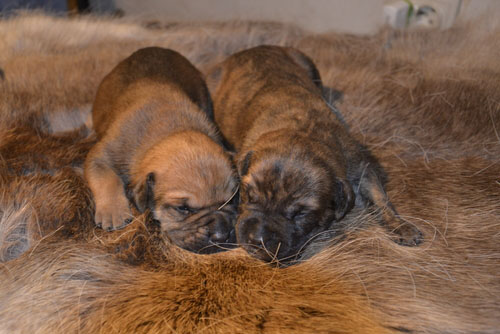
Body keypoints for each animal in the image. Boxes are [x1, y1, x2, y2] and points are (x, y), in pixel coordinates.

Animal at [84, 47, 238, 253]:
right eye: (183, 209)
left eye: (233, 199)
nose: (221, 235)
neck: (169, 130)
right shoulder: (102, 155)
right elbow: (105, 178)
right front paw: (113, 211)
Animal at [209, 45, 424, 264]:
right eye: (249, 195)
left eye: (301, 213)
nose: (256, 240)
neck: (302, 129)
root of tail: (254, 48)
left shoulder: (359, 165)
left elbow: (379, 196)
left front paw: (401, 226)